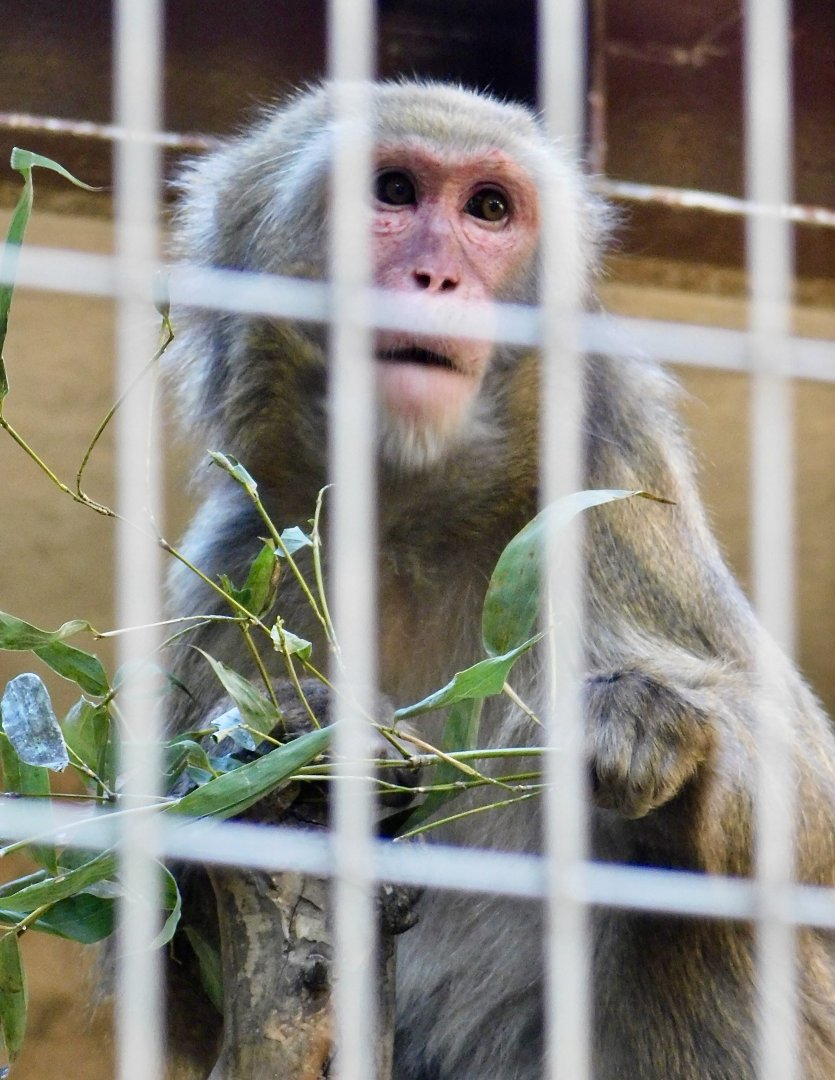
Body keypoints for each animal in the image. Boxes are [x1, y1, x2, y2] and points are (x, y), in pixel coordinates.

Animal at [163, 81, 835, 1079]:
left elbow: (812, 810)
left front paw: (650, 729)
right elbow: (169, 973)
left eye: (486, 209)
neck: (413, 520)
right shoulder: (243, 562)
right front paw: (298, 733)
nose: (436, 278)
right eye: (394, 191)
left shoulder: (613, 505)